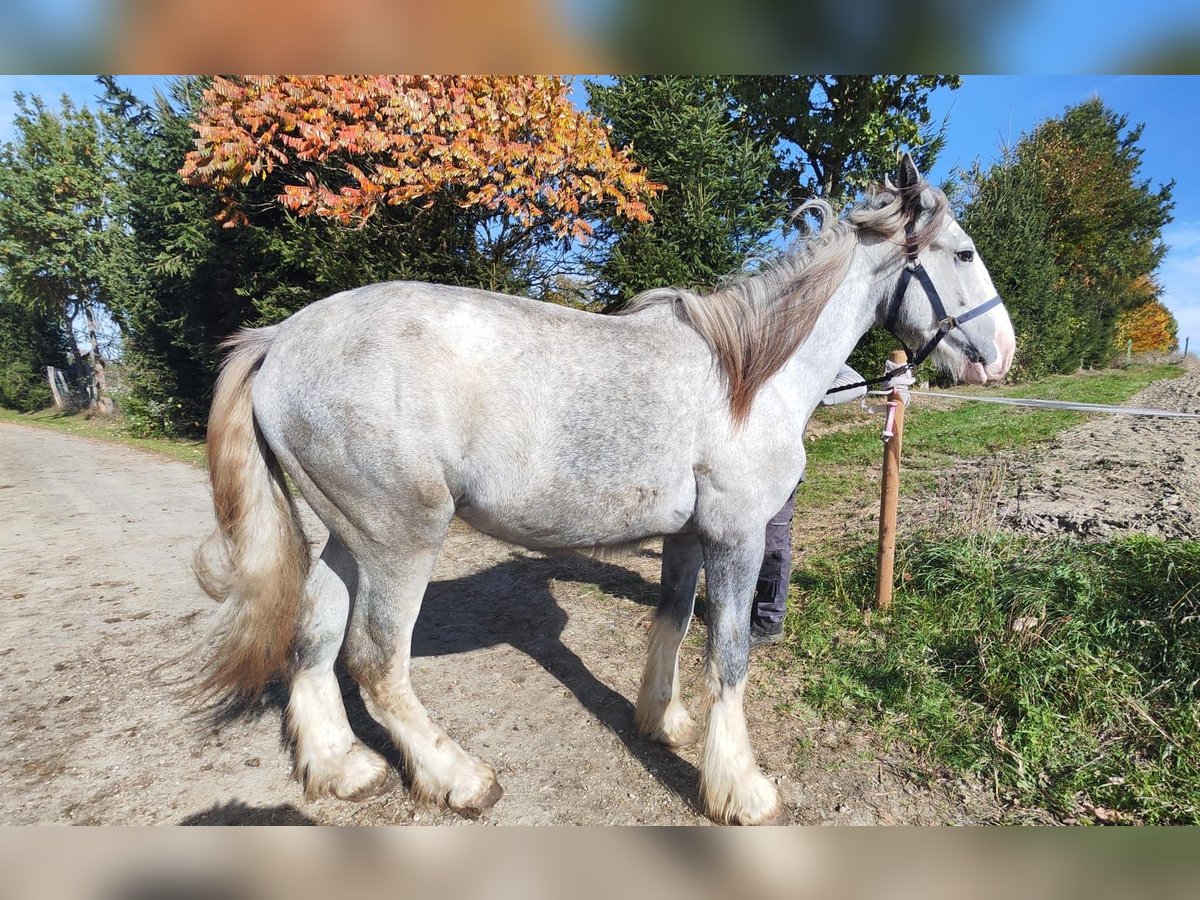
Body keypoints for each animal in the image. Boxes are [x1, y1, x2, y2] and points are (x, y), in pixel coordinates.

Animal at [193, 153, 1015, 825]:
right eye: (964, 252)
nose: (1002, 355)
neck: (747, 375)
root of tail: (282, 339)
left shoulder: (689, 536)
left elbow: (674, 621)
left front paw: (664, 723)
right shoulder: (738, 536)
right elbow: (730, 654)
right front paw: (739, 790)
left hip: (349, 537)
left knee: (315, 635)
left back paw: (341, 766)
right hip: (401, 539)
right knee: (375, 659)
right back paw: (458, 777)